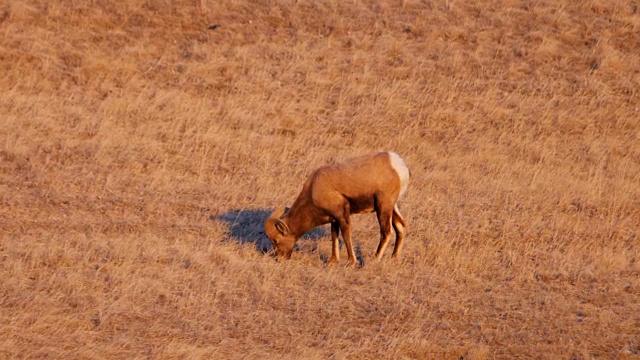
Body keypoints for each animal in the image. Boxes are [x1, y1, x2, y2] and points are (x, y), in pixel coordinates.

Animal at [264, 150, 410, 266]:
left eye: (275, 240)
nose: (279, 259)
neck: (315, 188)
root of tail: (399, 165)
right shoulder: (334, 220)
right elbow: (334, 236)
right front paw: (333, 261)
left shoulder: (342, 216)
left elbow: (346, 236)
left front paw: (351, 263)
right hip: (391, 208)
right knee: (401, 226)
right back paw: (394, 257)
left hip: (383, 207)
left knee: (386, 232)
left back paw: (375, 259)